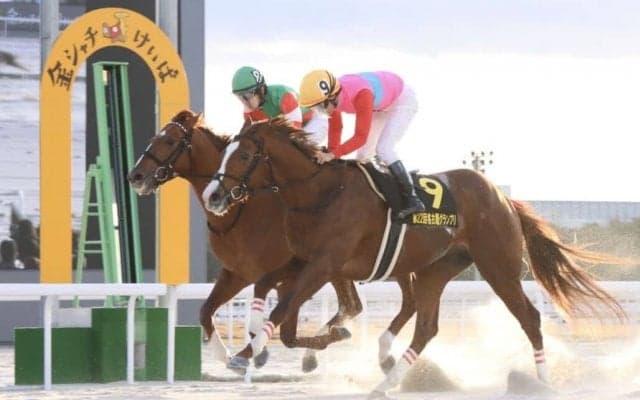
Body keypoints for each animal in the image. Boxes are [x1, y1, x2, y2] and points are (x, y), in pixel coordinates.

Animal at [127, 110, 416, 373]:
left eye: (169, 141)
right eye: (155, 137)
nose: (135, 176)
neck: (243, 210)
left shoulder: (292, 275)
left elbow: (286, 329)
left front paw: (257, 351)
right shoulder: (238, 273)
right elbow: (206, 312)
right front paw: (231, 356)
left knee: (371, 304)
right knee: (356, 305)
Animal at [202, 118, 625, 397]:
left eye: (243, 155)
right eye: (222, 153)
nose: (213, 196)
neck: (321, 192)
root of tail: (502, 198)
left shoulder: (325, 264)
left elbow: (281, 310)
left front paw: (249, 351)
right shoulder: (303, 261)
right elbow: (271, 298)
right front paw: (253, 347)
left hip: (497, 265)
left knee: (530, 317)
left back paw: (543, 382)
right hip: (434, 270)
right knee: (426, 327)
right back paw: (386, 380)